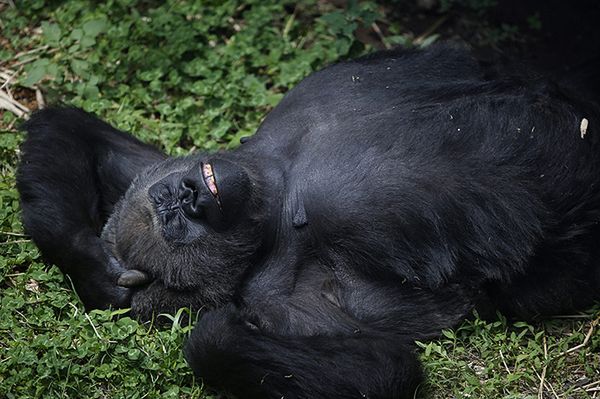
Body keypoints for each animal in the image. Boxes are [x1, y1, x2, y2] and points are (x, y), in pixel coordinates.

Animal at [14, 45, 600, 398]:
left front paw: (91, 266)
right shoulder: (286, 304)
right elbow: (384, 368)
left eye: (168, 203)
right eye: (177, 224)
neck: (273, 188)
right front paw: (215, 331)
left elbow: (69, 126)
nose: (188, 196)